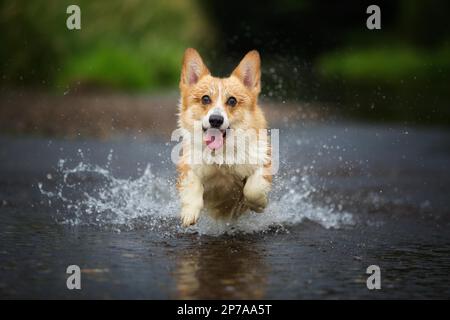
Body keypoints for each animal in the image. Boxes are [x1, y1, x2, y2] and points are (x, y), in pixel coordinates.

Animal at [178, 48, 272, 228]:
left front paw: (259, 204)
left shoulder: (262, 161)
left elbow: (253, 188)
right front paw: (189, 212)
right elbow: (192, 184)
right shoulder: (187, 164)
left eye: (232, 101)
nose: (216, 120)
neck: (221, 154)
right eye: (205, 99)